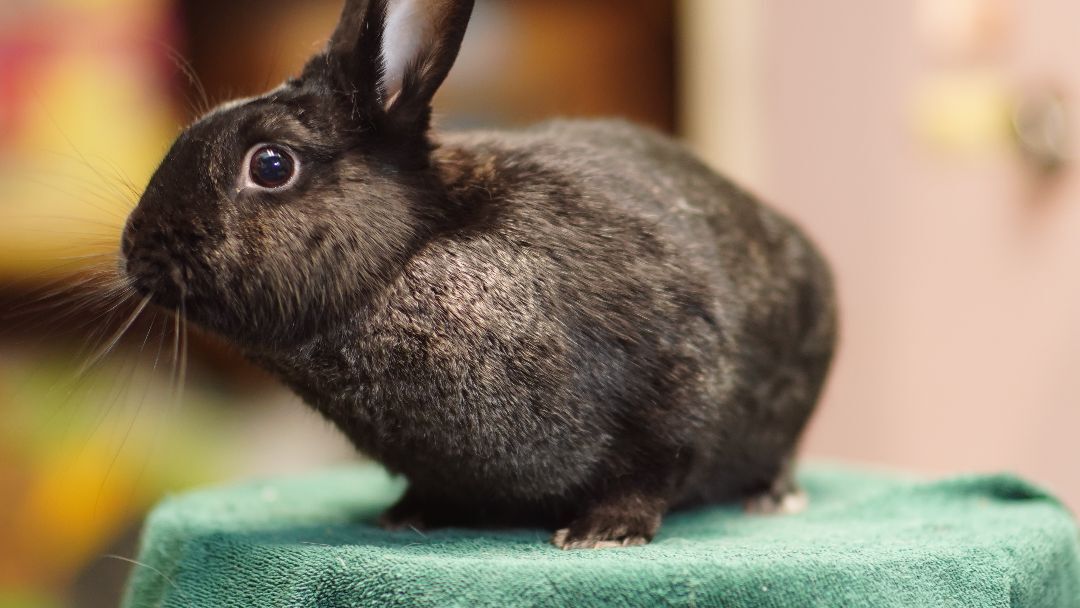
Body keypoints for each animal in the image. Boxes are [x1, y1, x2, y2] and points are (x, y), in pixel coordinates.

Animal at [120, 0, 837, 549]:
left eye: (270, 165)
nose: (133, 249)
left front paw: (603, 533)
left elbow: (656, 466)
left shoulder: (675, 373)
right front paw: (406, 516)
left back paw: (774, 496)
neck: (405, 258)